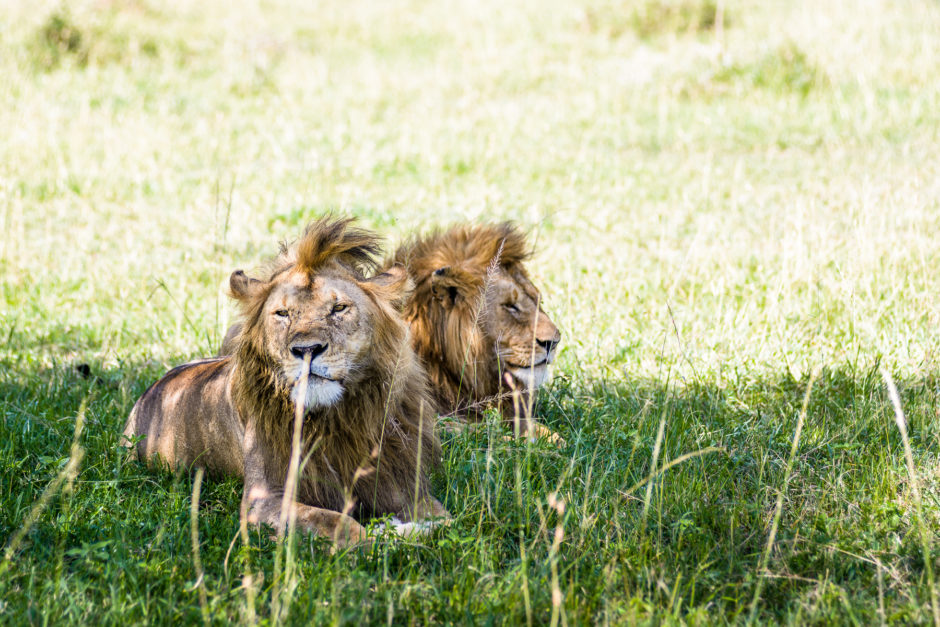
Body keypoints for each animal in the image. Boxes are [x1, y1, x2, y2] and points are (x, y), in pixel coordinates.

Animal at [124, 218, 448, 548]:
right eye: (282, 313)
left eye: (339, 308)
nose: (307, 350)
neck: (335, 419)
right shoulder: (262, 499)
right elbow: (338, 522)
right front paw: (379, 538)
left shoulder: (398, 483)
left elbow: (444, 518)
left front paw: (415, 529)